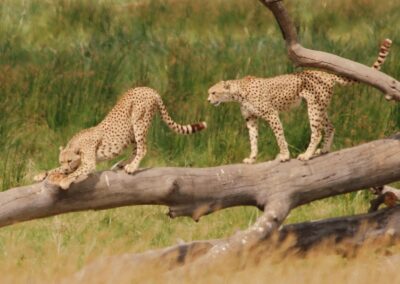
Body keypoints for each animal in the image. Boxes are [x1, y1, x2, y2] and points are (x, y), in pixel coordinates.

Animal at [34, 86, 206, 189]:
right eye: (61, 161)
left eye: (69, 160)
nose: (65, 168)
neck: (76, 144)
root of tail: (148, 88)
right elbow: (53, 169)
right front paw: (42, 174)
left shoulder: (88, 163)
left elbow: (77, 171)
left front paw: (64, 179)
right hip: (131, 132)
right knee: (135, 150)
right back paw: (122, 164)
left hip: (139, 122)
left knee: (142, 148)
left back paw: (131, 167)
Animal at [208, 38, 392, 163]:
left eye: (213, 92)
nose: (208, 101)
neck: (238, 92)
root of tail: (324, 73)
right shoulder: (251, 119)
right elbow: (253, 140)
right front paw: (252, 158)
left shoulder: (271, 114)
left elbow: (279, 136)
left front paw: (284, 155)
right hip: (321, 107)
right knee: (330, 126)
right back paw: (323, 150)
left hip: (314, 107)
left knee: (317, 132)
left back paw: (307, 154)